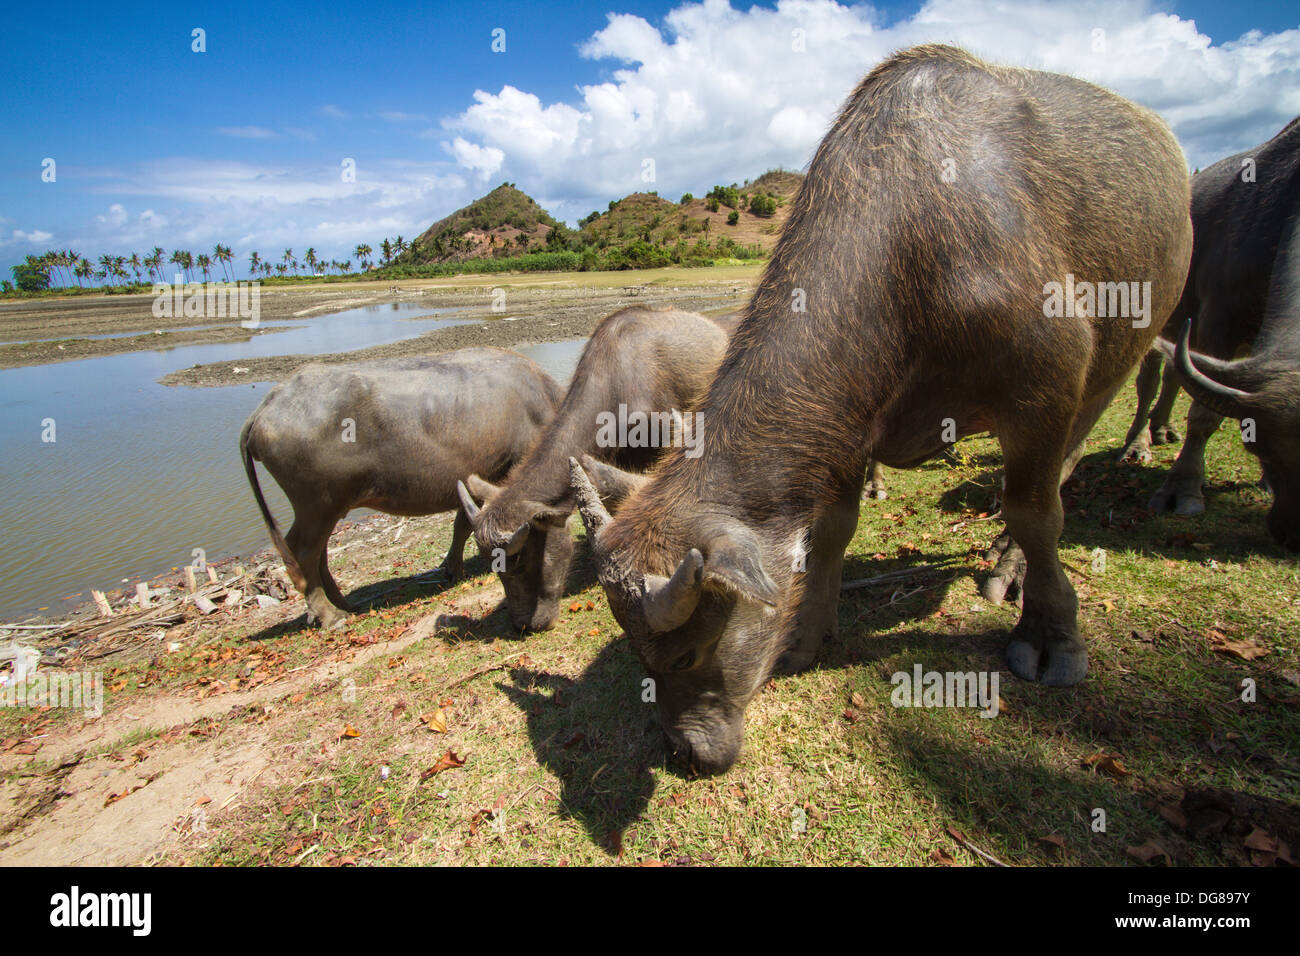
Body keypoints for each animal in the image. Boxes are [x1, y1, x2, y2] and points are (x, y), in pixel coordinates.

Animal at [241, 348, 561, 632]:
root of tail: (269, 405)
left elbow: (462, 525)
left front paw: (452, 569)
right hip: (317, 505)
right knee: (302, 552)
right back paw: (330, 616)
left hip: (323, 510)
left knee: (318, 553)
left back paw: (342, 603)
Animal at [566, 46, 1190, 780]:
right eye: (641, 656)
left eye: (689, 653)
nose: (684, 750)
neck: (919, 245)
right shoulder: (848, 425)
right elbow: (830, 530)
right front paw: (806, 634)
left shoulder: (1047, 390)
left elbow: (1036, 515)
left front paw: (1051, 635)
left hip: (1113, 367)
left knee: (1060, 473)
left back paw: (1012, 566)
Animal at [1149, 115, 1300, 546]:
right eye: (1261, 449)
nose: (1293, 534)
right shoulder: (1220, 319)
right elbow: (1204, 415)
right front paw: (1182, 491)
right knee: (1151, 377)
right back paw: (1137, 444)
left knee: (1173, 374)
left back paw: (1161, 429)